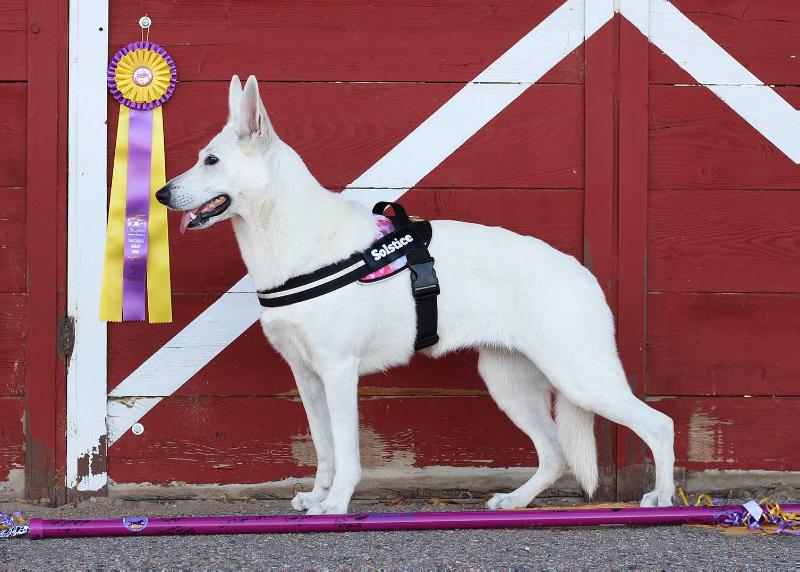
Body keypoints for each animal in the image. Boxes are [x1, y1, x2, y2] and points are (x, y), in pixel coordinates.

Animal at [158, 75, 676, 512]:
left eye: (211, 161)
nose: (162, 195)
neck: (293, 237)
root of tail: (583, 273)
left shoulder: (339, 372)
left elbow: (345, 453)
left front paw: (336, 505)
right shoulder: (307, 377)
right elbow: (324, 450)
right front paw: (318, 497)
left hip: (582, 379)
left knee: (660, 425)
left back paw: (662, 500)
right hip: (509, 383)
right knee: (554, 455)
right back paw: (514, 502)